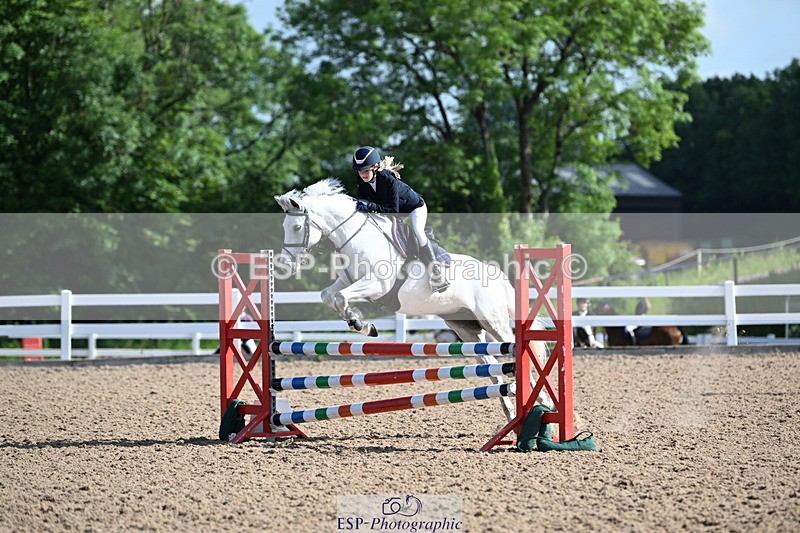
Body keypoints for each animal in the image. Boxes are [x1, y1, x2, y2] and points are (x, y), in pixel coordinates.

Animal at [273, 178, 549, 420]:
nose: (284, 263)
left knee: (516, 350)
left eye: (296, 227)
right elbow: (330, 296)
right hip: (465, 328)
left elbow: (341, 297)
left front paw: (360, 323)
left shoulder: (376, 284)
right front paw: (362, 322)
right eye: (284, 227)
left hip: (492, 321)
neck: (357, 238)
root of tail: (494, 272)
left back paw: (542, 400)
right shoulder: (347, 282)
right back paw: (512, 412)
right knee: (492, 368)